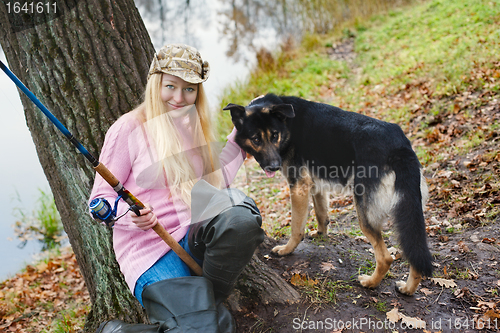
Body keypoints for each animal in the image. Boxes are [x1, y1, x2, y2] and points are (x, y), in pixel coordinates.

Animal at [225, 92, 432, 294]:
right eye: (256, 139)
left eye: (274, 135)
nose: (275, 166)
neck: (287, 126)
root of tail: (399, 145)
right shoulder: (315, 185)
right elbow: (321, 213)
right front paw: (321, 234)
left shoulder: (298, 187)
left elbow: (296, 227)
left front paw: (287, 249)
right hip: (410, 210)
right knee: (415, 250)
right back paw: (408, 289)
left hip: (365, 212)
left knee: (386, 258)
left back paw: (370, 283)